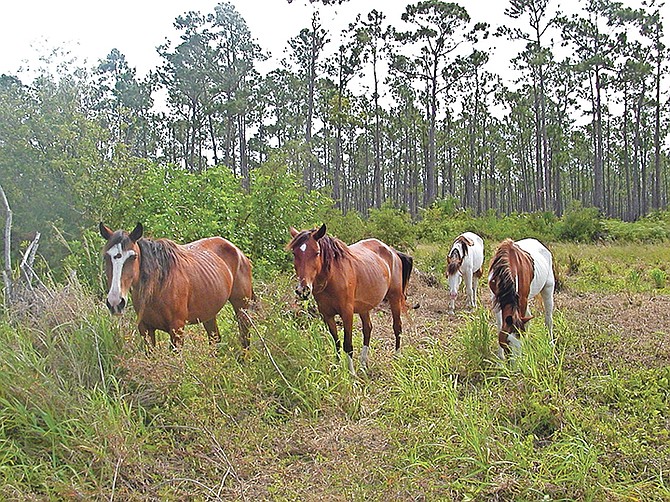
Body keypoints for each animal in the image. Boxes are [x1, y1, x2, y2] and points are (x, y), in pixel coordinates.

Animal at [100, 224, 255, 350]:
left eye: (133, 257)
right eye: (106, 257)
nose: (115, 302)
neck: (158, 286)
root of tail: (238, 252)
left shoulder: (177, 329)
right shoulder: (145, 328)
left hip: (241, 307)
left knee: (245, 336)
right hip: (209, 313)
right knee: (215, 338)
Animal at [288, 224, 414, 372]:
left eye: (317, 253)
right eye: (294, 253)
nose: (303, 290)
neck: (332, 278)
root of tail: (392, 251)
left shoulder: (347, 313)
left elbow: (347, 345)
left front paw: (351, 373)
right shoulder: (327, 315)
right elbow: (336, 341)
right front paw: (337, 368)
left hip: (394, 298)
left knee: (397, 327)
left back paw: (397, 357)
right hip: (364, 306)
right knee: (368, 329)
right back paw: (363, 363)